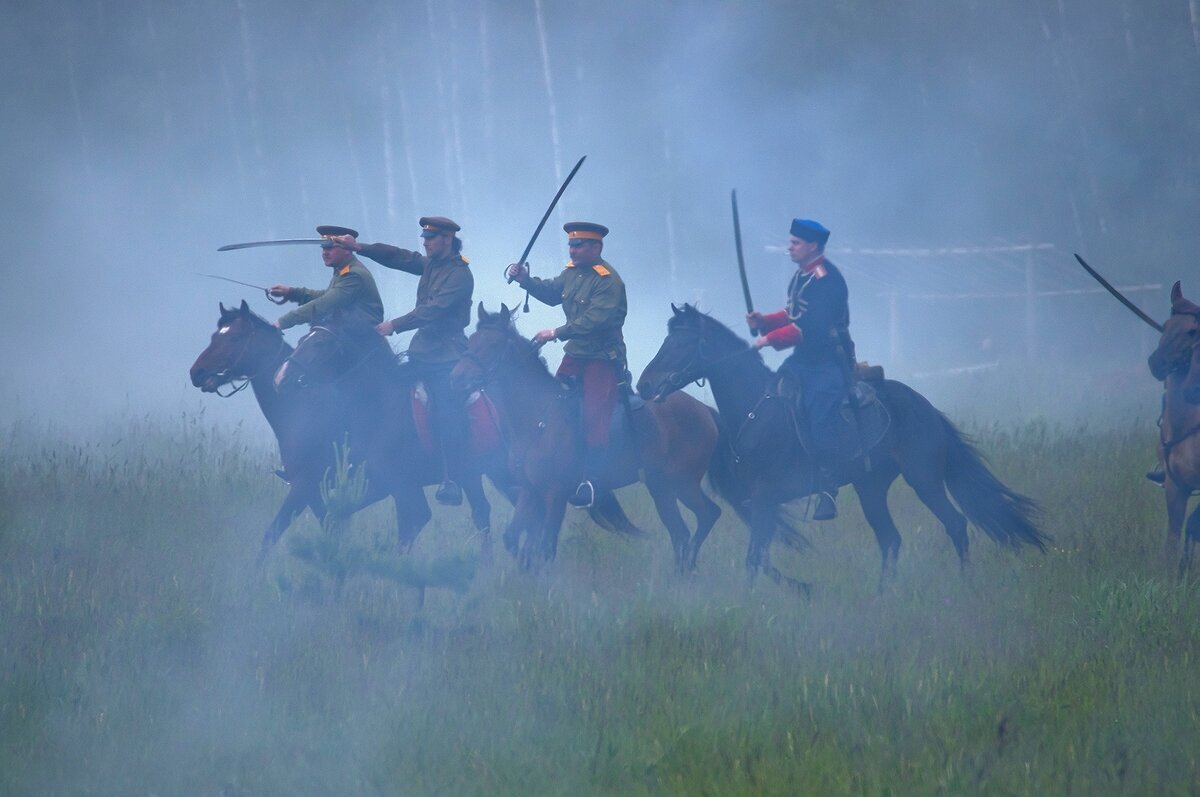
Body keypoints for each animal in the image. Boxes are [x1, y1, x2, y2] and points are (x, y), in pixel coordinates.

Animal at [451, 304, 729, 573]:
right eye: (471, 340)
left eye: (494, 345)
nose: (457, 378)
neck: (539, 415)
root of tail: (704, 410)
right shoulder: (531, 491)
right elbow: (515, 539)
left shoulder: (555, 494)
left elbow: (546, 546)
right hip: (661, 486)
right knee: (681, 532)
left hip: (682, 483)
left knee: (707, 515)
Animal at [638, 304, 1051, 590]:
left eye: (680, 343)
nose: (644, 386)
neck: (758, 408)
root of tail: (926, 407)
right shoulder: (761, 502)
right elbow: (761, 557)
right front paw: (798, 588)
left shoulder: (767, 497)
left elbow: (755, 558)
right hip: (871, 487)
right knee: (891, 539)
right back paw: (883, 595)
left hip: (925, 480)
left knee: (956, 524)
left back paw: (964, 583)